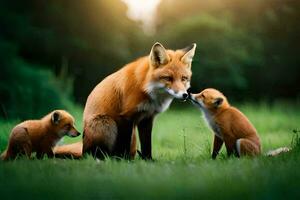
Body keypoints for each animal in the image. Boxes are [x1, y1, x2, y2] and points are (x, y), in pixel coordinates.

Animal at [54, 41, 197, 159]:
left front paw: (148, 161)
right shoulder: (125, 117)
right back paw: (107, 158)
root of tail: (83, 148)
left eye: (184, 78)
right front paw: (124, 161)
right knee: (94, 154)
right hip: (106, 123)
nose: (185, 95)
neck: (146, 87)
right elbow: (123, 144)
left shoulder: (147, 118)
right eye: (168, 78)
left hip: (132, 135)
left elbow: (147, 145)